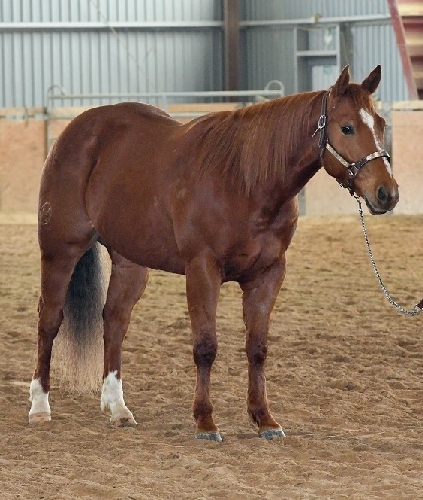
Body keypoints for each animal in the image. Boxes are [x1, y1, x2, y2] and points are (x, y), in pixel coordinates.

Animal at [29, 65, 398, 442]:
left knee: (115, 320)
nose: (387, 193)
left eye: (381, 124)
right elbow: (206, 347)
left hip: (130, 262)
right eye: (347, 127)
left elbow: (257, 348)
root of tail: (75, 130)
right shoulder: (202, 270)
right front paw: (205, 421)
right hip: (60, 250)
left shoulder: (268, 275)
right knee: (50, 319)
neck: (245, 183)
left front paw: (264, 419)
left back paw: (117, 408)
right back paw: (40, 406)